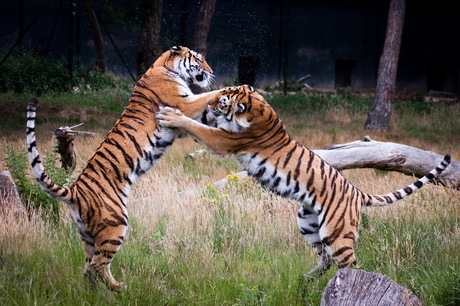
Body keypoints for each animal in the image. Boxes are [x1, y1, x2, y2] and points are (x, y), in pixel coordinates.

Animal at [26, 46, 227, 292]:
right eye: (199, 59)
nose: (211, 71)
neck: (163, 67)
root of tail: (74, 191)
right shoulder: (184, 105)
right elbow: (207, 96)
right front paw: (235, 89)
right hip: (116, 223)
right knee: (98, 264)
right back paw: (118, 288)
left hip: (87, 234)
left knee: (88, 267)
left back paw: (96, 293)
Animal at [156, 85, 452, 278]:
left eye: (223, 100)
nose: (211, 104)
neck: (260, 111)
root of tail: (358, 193)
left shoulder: (225, 140)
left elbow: (199, 129)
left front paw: (172, 115)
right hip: (307, 222)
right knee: (326, 259)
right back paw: (306, 278)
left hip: (337, 232)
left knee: (350, 264)